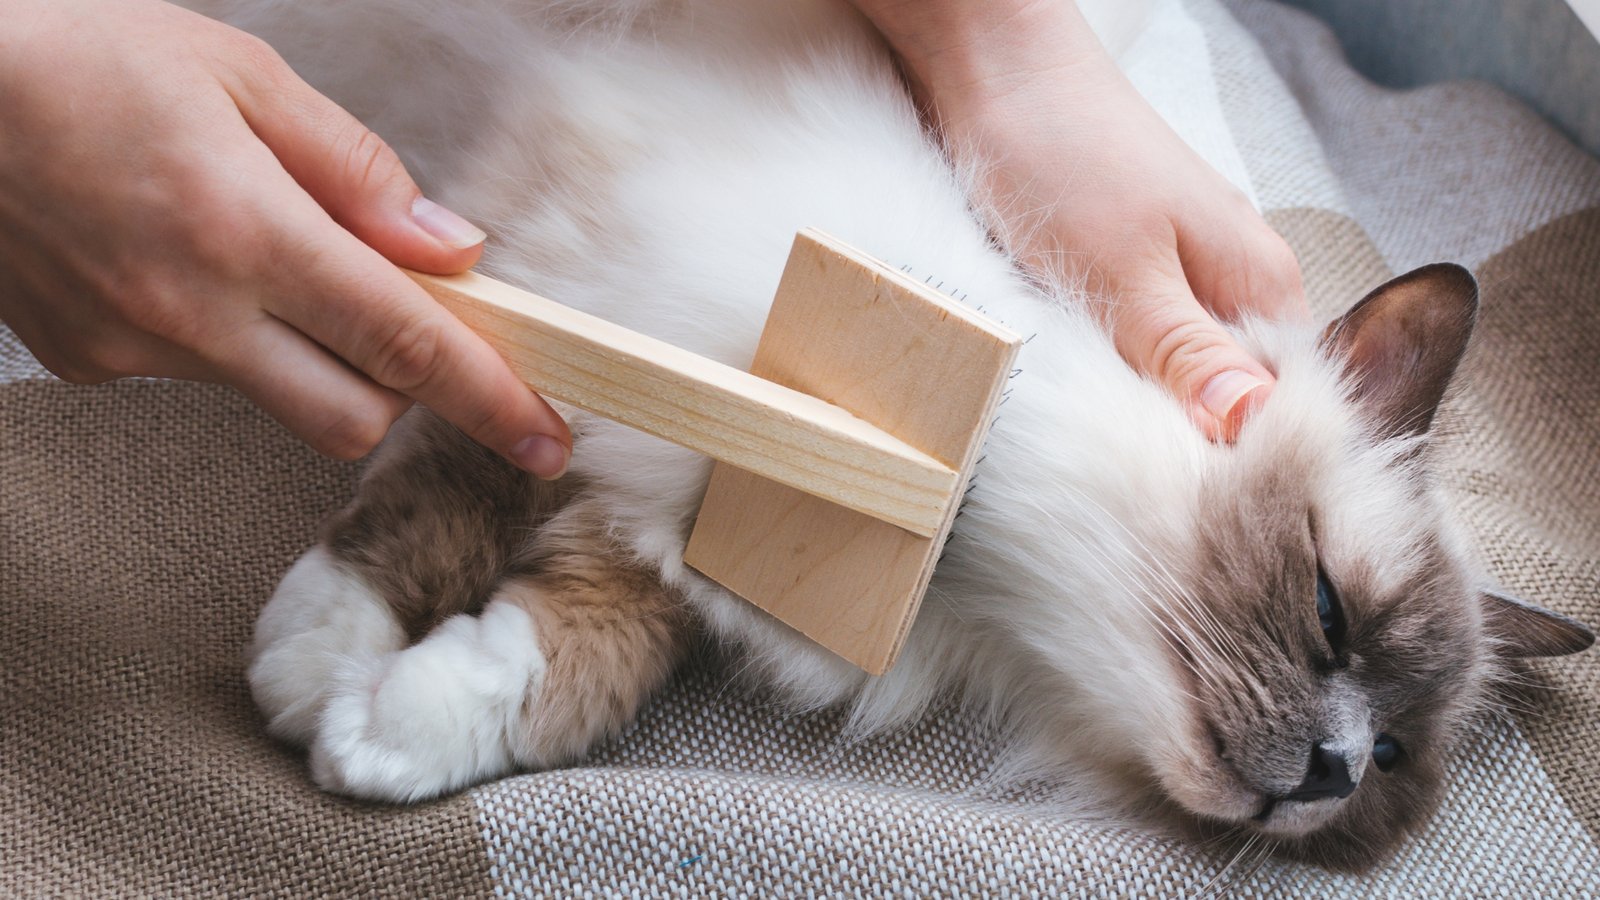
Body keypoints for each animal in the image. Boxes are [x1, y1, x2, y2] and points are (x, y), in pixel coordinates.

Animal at [206, 0, 1593, 871]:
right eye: (1325, 614)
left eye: (1393, 758)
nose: (1328, 771)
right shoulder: (556, 265)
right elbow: (443, 486)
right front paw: (312, 661)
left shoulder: (691, 528)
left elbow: (580, 647)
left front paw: (383, 728)